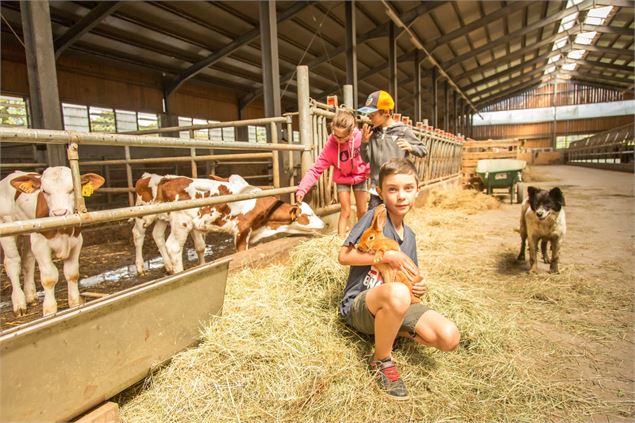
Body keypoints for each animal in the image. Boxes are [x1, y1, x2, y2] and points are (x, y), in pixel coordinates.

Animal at [0, 167, 104, 316]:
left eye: (72, 189)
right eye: (44, 191)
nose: (60, 213)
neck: (63, 229)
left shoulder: (76, 242)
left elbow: (72, 273)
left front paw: (75, 304)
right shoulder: (41, 245)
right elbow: (49, 277)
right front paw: (49, 310)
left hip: (28, 233)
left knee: (28, 261)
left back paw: (30, 295)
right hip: (6, 226)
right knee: (13, 263)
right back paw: (19, 304)